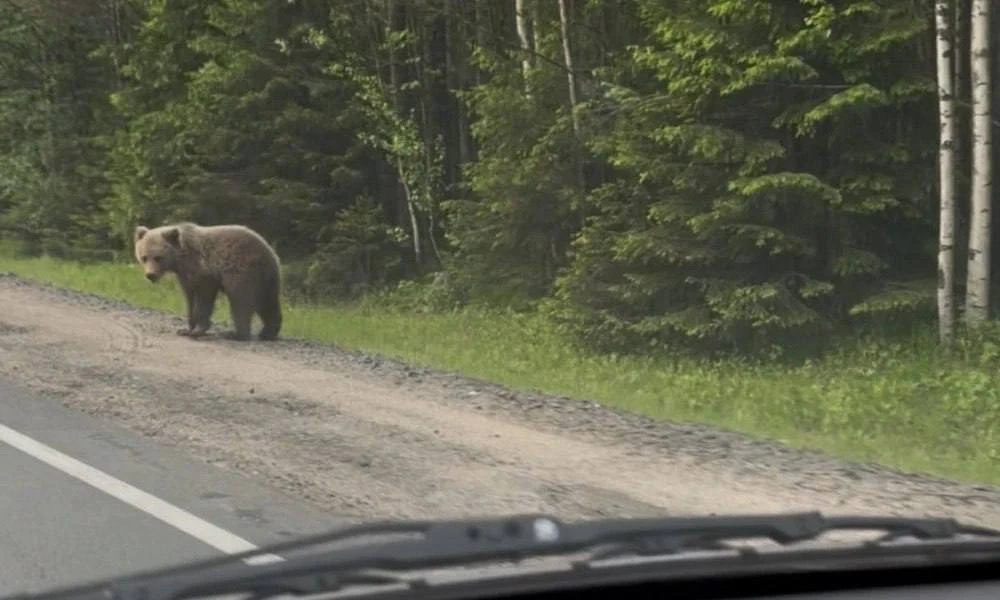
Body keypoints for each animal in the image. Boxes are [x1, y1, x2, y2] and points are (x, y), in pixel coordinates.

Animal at [133, 222, 283, 342]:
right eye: (144, 257)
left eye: (158, 257)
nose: (150, 275)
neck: (180, 260)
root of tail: (270, 252)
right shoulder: (185, 276)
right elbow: (189, 298)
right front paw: (185, 329)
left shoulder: (204, 272)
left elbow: (203, 300)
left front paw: (198, 330)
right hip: (265, 279)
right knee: (267, 303)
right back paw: (268, 332)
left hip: (243, 271)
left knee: (241, 301)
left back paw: (235, 334)